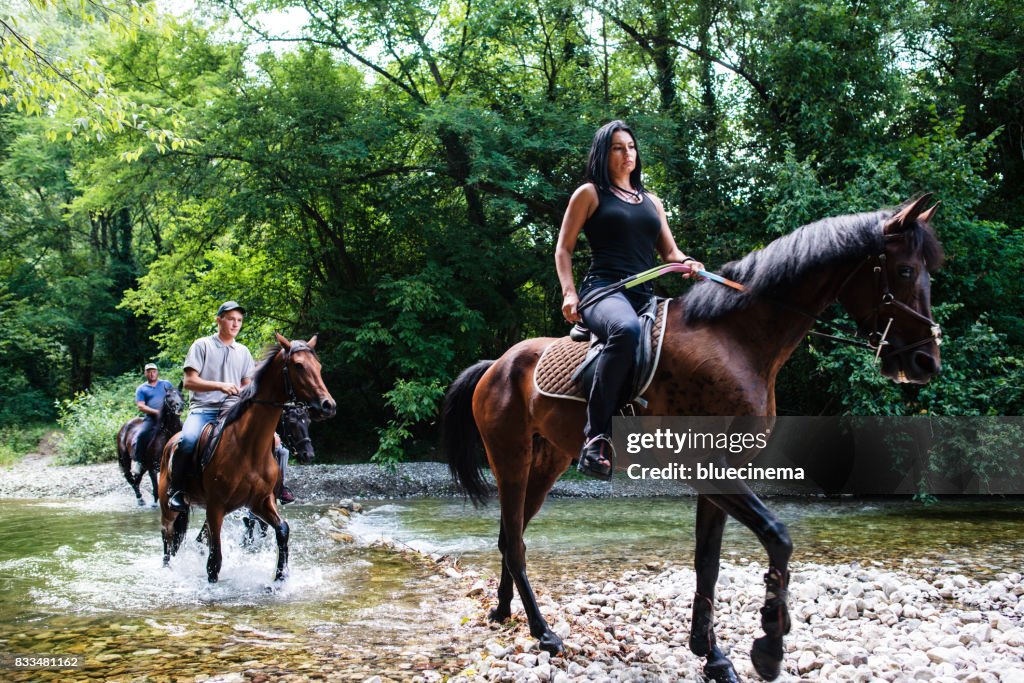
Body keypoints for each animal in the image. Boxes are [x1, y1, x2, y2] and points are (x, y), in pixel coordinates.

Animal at [158, 333, 335, 585]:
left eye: (318, 366)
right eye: (299, 366)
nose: (328, 405)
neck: (248, 447)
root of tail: (170, 443)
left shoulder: (260, 501)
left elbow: (282, 530)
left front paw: (280, 576)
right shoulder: (216, 507)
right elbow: (215, 561)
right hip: (169, 506)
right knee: (168, 537)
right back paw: (167, 570)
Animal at [440, 194, 942, 679]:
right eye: (904, 270)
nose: (925, 362)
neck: (735, 341)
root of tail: (498, 364)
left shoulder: (720, 472)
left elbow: (708, 562)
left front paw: (711, 653)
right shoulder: (709, 469)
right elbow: (777, 536)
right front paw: (768, 646)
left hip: (546, 466)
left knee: (511, 536)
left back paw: (503, 611)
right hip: (511, 461)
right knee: (515, 542)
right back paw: (543, 631)